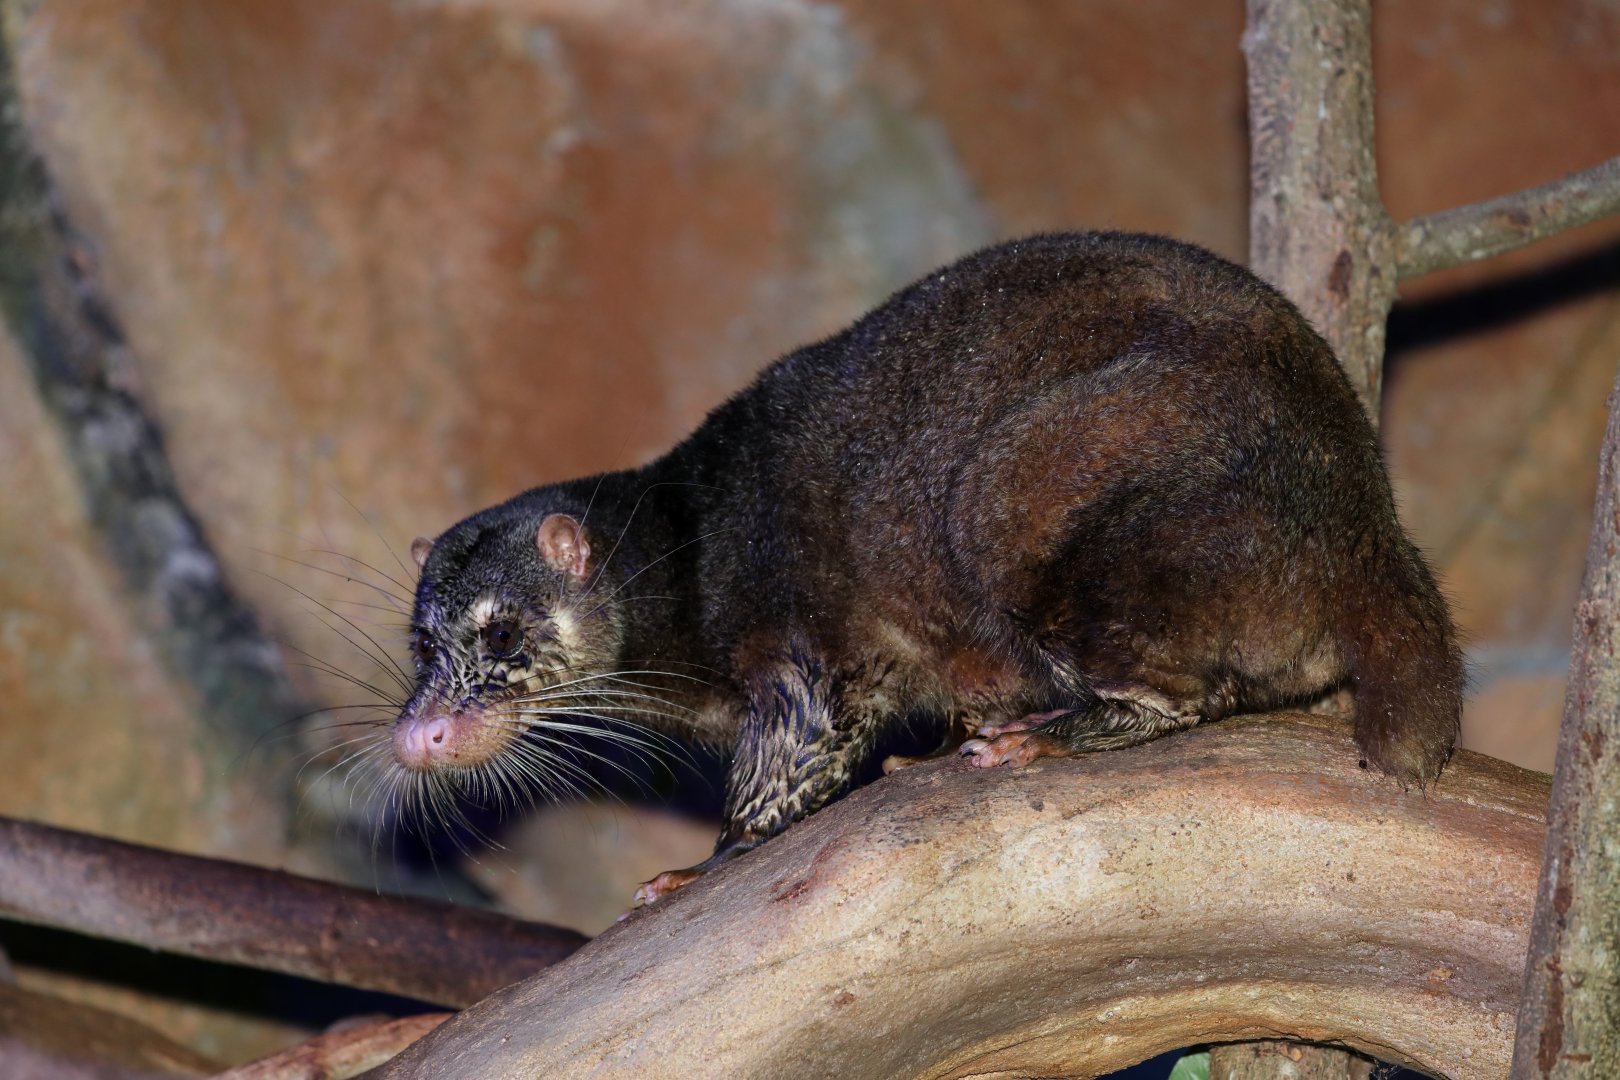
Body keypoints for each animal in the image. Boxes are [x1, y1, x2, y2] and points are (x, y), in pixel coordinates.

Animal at [390, 232, 1462, 906]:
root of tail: (1361, 516)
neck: (686, 550)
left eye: (500, 631)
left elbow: (798, 758)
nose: (418, 734)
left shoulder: (791, 634)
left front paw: (700, 867)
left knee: (1184, 695)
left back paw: (1043, 740)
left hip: (1018, 495)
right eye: (424, 648)